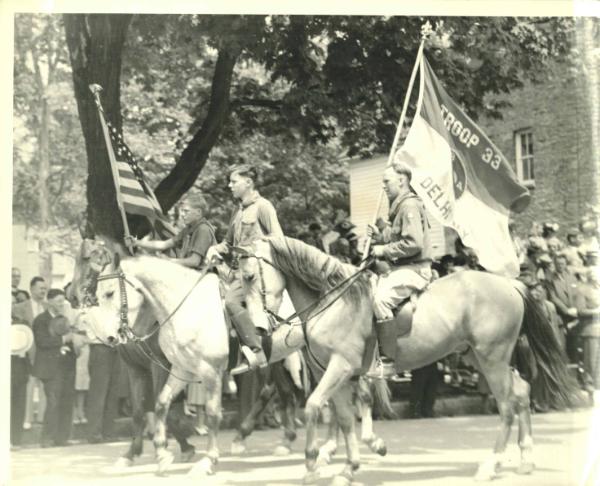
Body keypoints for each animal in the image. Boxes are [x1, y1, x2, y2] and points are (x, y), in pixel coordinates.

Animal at [237, 234, 580, 482]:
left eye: (250, 276)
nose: (258, 331)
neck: (332, 301)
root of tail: (508, 282)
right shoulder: (336, 375)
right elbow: (344, 418)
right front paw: (348, 468)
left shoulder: (340, 368)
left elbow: (312, 407)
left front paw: (311, 465)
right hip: (480, 357)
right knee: (521, 393)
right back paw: (525, 459)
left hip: (492, 358)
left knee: (508, 406)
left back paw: (491, 465)